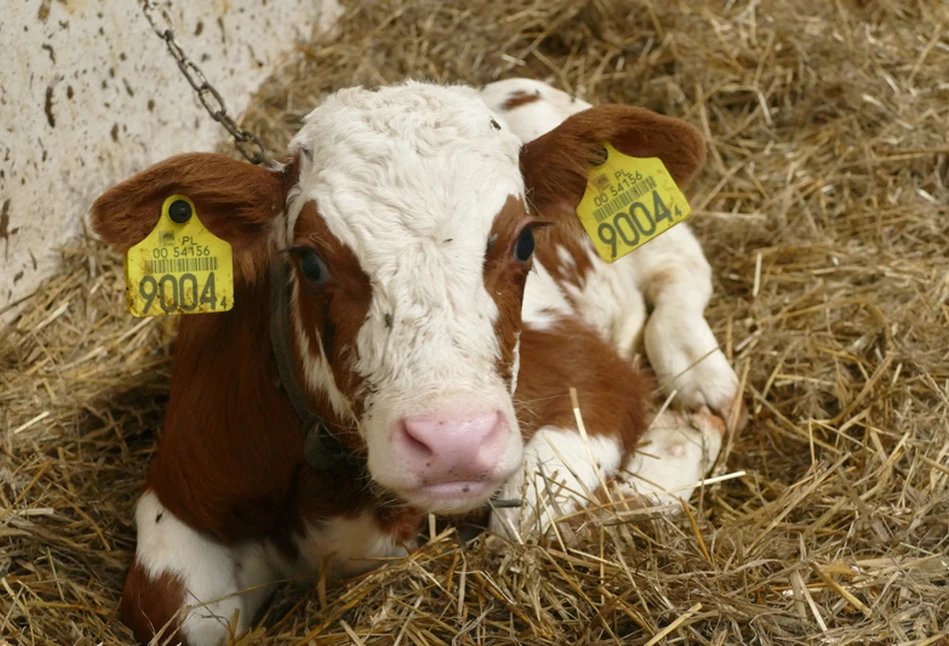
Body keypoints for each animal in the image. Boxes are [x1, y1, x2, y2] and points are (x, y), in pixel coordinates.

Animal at [92, 78, 744, 644]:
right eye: (310, 261)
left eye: (525, 242)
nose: (454, 440)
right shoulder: (181, 491)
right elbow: (170, 612)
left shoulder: (592, 375)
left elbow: (527, 524)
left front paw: (676, 444)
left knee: (679, 273)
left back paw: (700, 377)